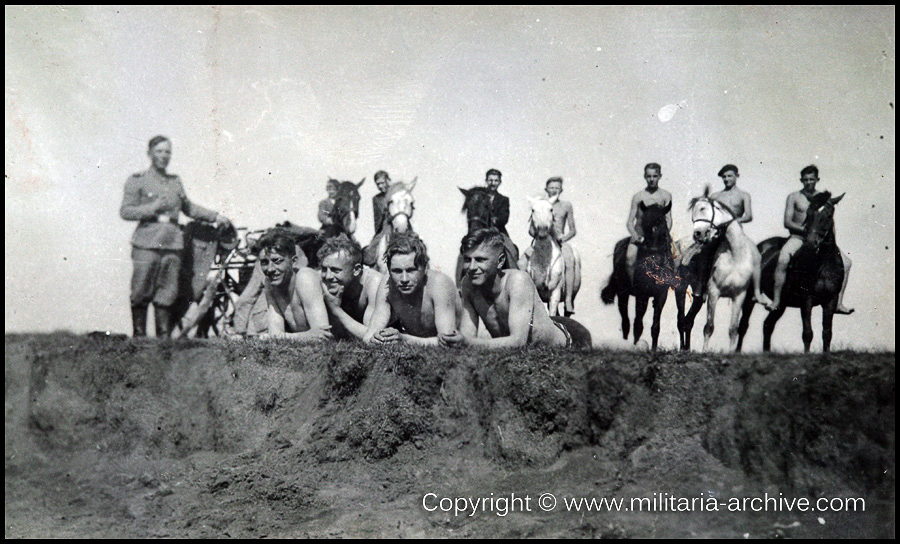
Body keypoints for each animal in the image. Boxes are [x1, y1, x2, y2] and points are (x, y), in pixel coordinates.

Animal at [600, 202, 680, 350]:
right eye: (645, 223)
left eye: (662, 222)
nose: (652, 250)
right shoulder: (642, 294)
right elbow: (638, 324)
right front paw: (637, 347)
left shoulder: (661, 295)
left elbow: (655, 327)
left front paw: (653, 350)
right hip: (623, 294)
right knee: (626, 322)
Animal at [676, 193, 768, 350]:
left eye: (702, 208)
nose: (697, 234)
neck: (735, 255)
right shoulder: (714, 293)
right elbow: (709, 327)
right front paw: (704, 351)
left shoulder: (739, 296)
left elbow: (733, 329)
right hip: (681, 288)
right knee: (681, 320)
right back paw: (683, 348)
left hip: (699, 297)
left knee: (688, 321)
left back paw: (686, 348)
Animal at [736, 191, 848, 352]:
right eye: (809, 213)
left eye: (828, 215)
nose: (811, 243)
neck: (823, 264)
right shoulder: (807, 299)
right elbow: (807, 333)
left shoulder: (830, 301)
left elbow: (827, 333)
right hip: (751, 295)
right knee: (743, 325)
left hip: (781, 304)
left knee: (767, 325)